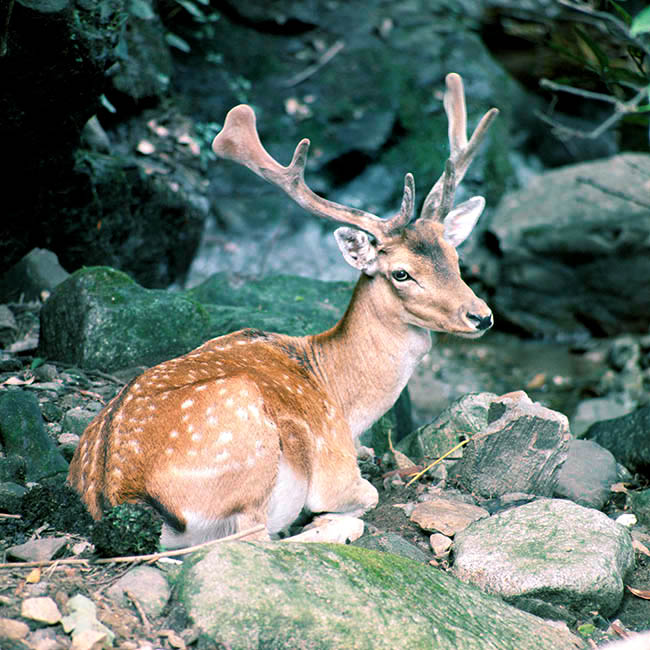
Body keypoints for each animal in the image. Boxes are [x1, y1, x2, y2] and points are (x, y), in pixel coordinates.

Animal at [67, 71, 496, 548]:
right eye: (401, 273)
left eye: (455, 257)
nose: (481, 315)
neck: (343, 399)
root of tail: (119, 498)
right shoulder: (335, 464)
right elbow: (364, 494)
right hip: (245, 452)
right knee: (254, 539)